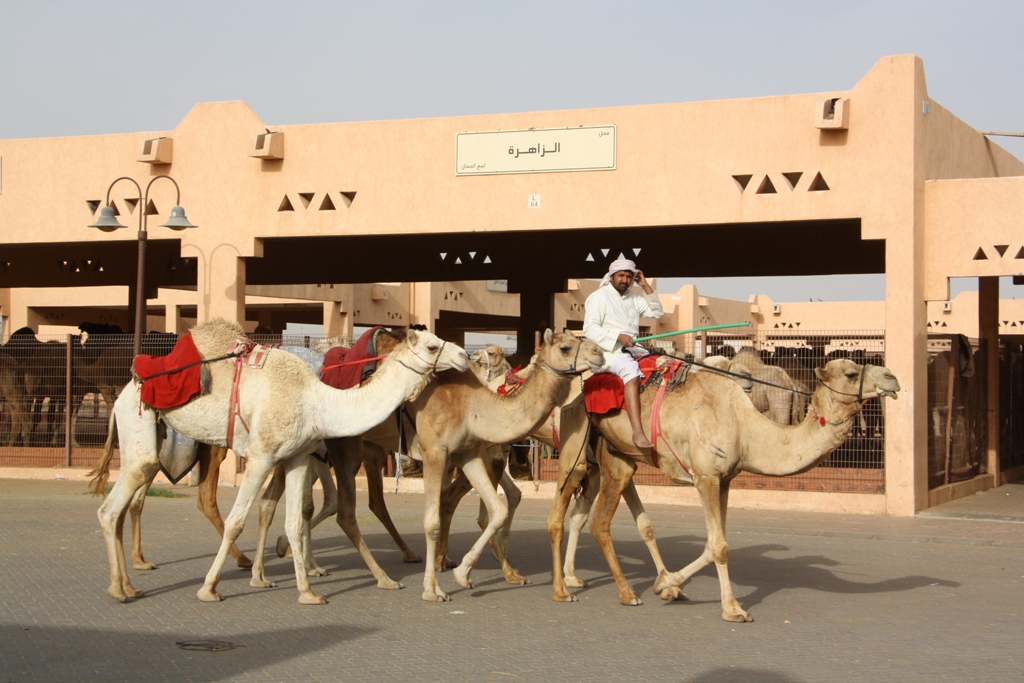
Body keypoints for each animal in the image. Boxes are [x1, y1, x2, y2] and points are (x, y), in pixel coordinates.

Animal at [91, 321, 468, 602]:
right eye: (432, 346)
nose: (464, 355)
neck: (318, 401)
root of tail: (126, 388)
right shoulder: (261, 456)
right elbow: (237, 521)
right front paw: (209, 589)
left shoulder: (298, 456)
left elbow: (294, 520)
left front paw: (308, 591)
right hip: (140, 424)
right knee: (114, 506)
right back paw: (120, 586)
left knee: (124, 503)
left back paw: (128, 584)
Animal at [409, 331, 602, 602]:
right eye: (565, 347)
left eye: (492, 352)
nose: (599, 353)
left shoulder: (596, 467)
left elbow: (578, 519)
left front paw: (572, 577)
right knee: (467, 502)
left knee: (493, 496)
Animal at [544, 356, 897, 622]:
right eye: (851, 373)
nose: (892, 377)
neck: (745, 426)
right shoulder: (706, 476)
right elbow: (720, 547)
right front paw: (733, 609)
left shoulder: (725, 479)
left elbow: (713, 544)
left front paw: (667, 584)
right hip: (577, 447)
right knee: (570, 517)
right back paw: (581, 591)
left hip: (617, 457)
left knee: (605, 518)